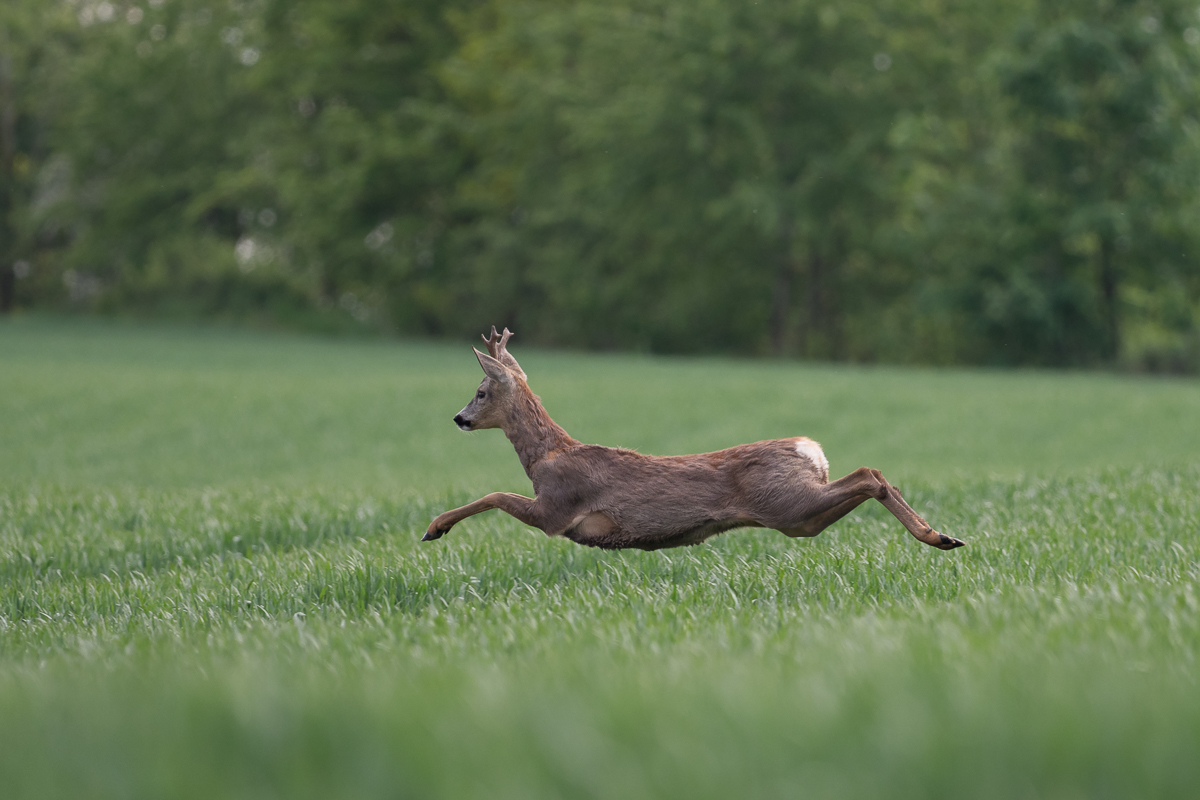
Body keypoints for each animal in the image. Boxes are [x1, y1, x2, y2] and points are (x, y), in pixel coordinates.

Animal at [424, 326, 964, 551]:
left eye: (480, 391)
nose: (458, 418)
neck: (546, 457)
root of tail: (810, 450)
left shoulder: (556, 510)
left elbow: (495, 494)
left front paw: (435, 528)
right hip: (797, 515)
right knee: (869, 478)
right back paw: (944, 536)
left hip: (785, 501)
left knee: (869, 474)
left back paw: (937, 537)